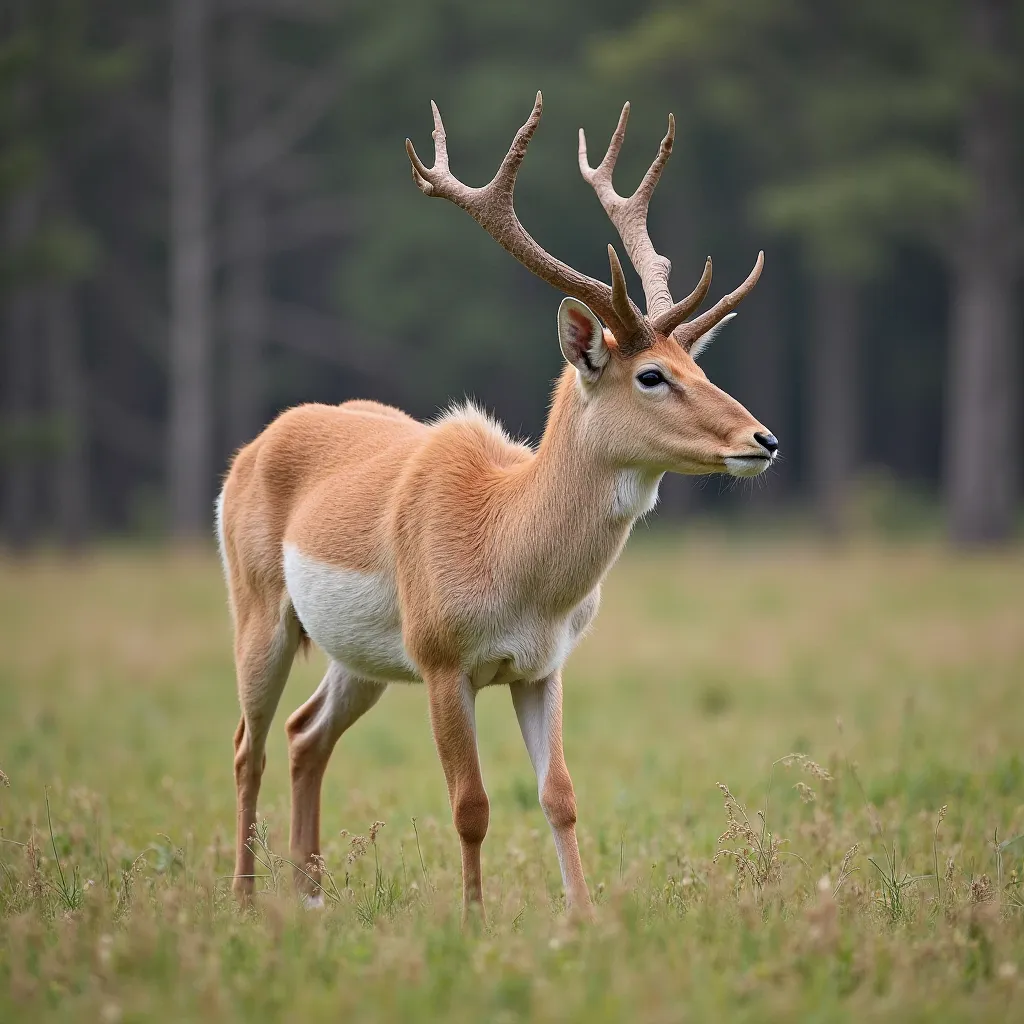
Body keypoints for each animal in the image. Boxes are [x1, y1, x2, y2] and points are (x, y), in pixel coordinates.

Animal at [216, 94, 774, 921]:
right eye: (651, 375)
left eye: (695, 365)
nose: (762, 439)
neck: (509, 557)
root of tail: (246, 453)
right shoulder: (443, 657)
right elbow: (471, 804)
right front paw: (475, 920)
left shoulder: (544, 665)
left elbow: (560, 795)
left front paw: (583, 918)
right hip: (258, 604)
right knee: (246, 744)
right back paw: (246, 900)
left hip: (361, 654)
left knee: (303, 733)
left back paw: (310, 896)